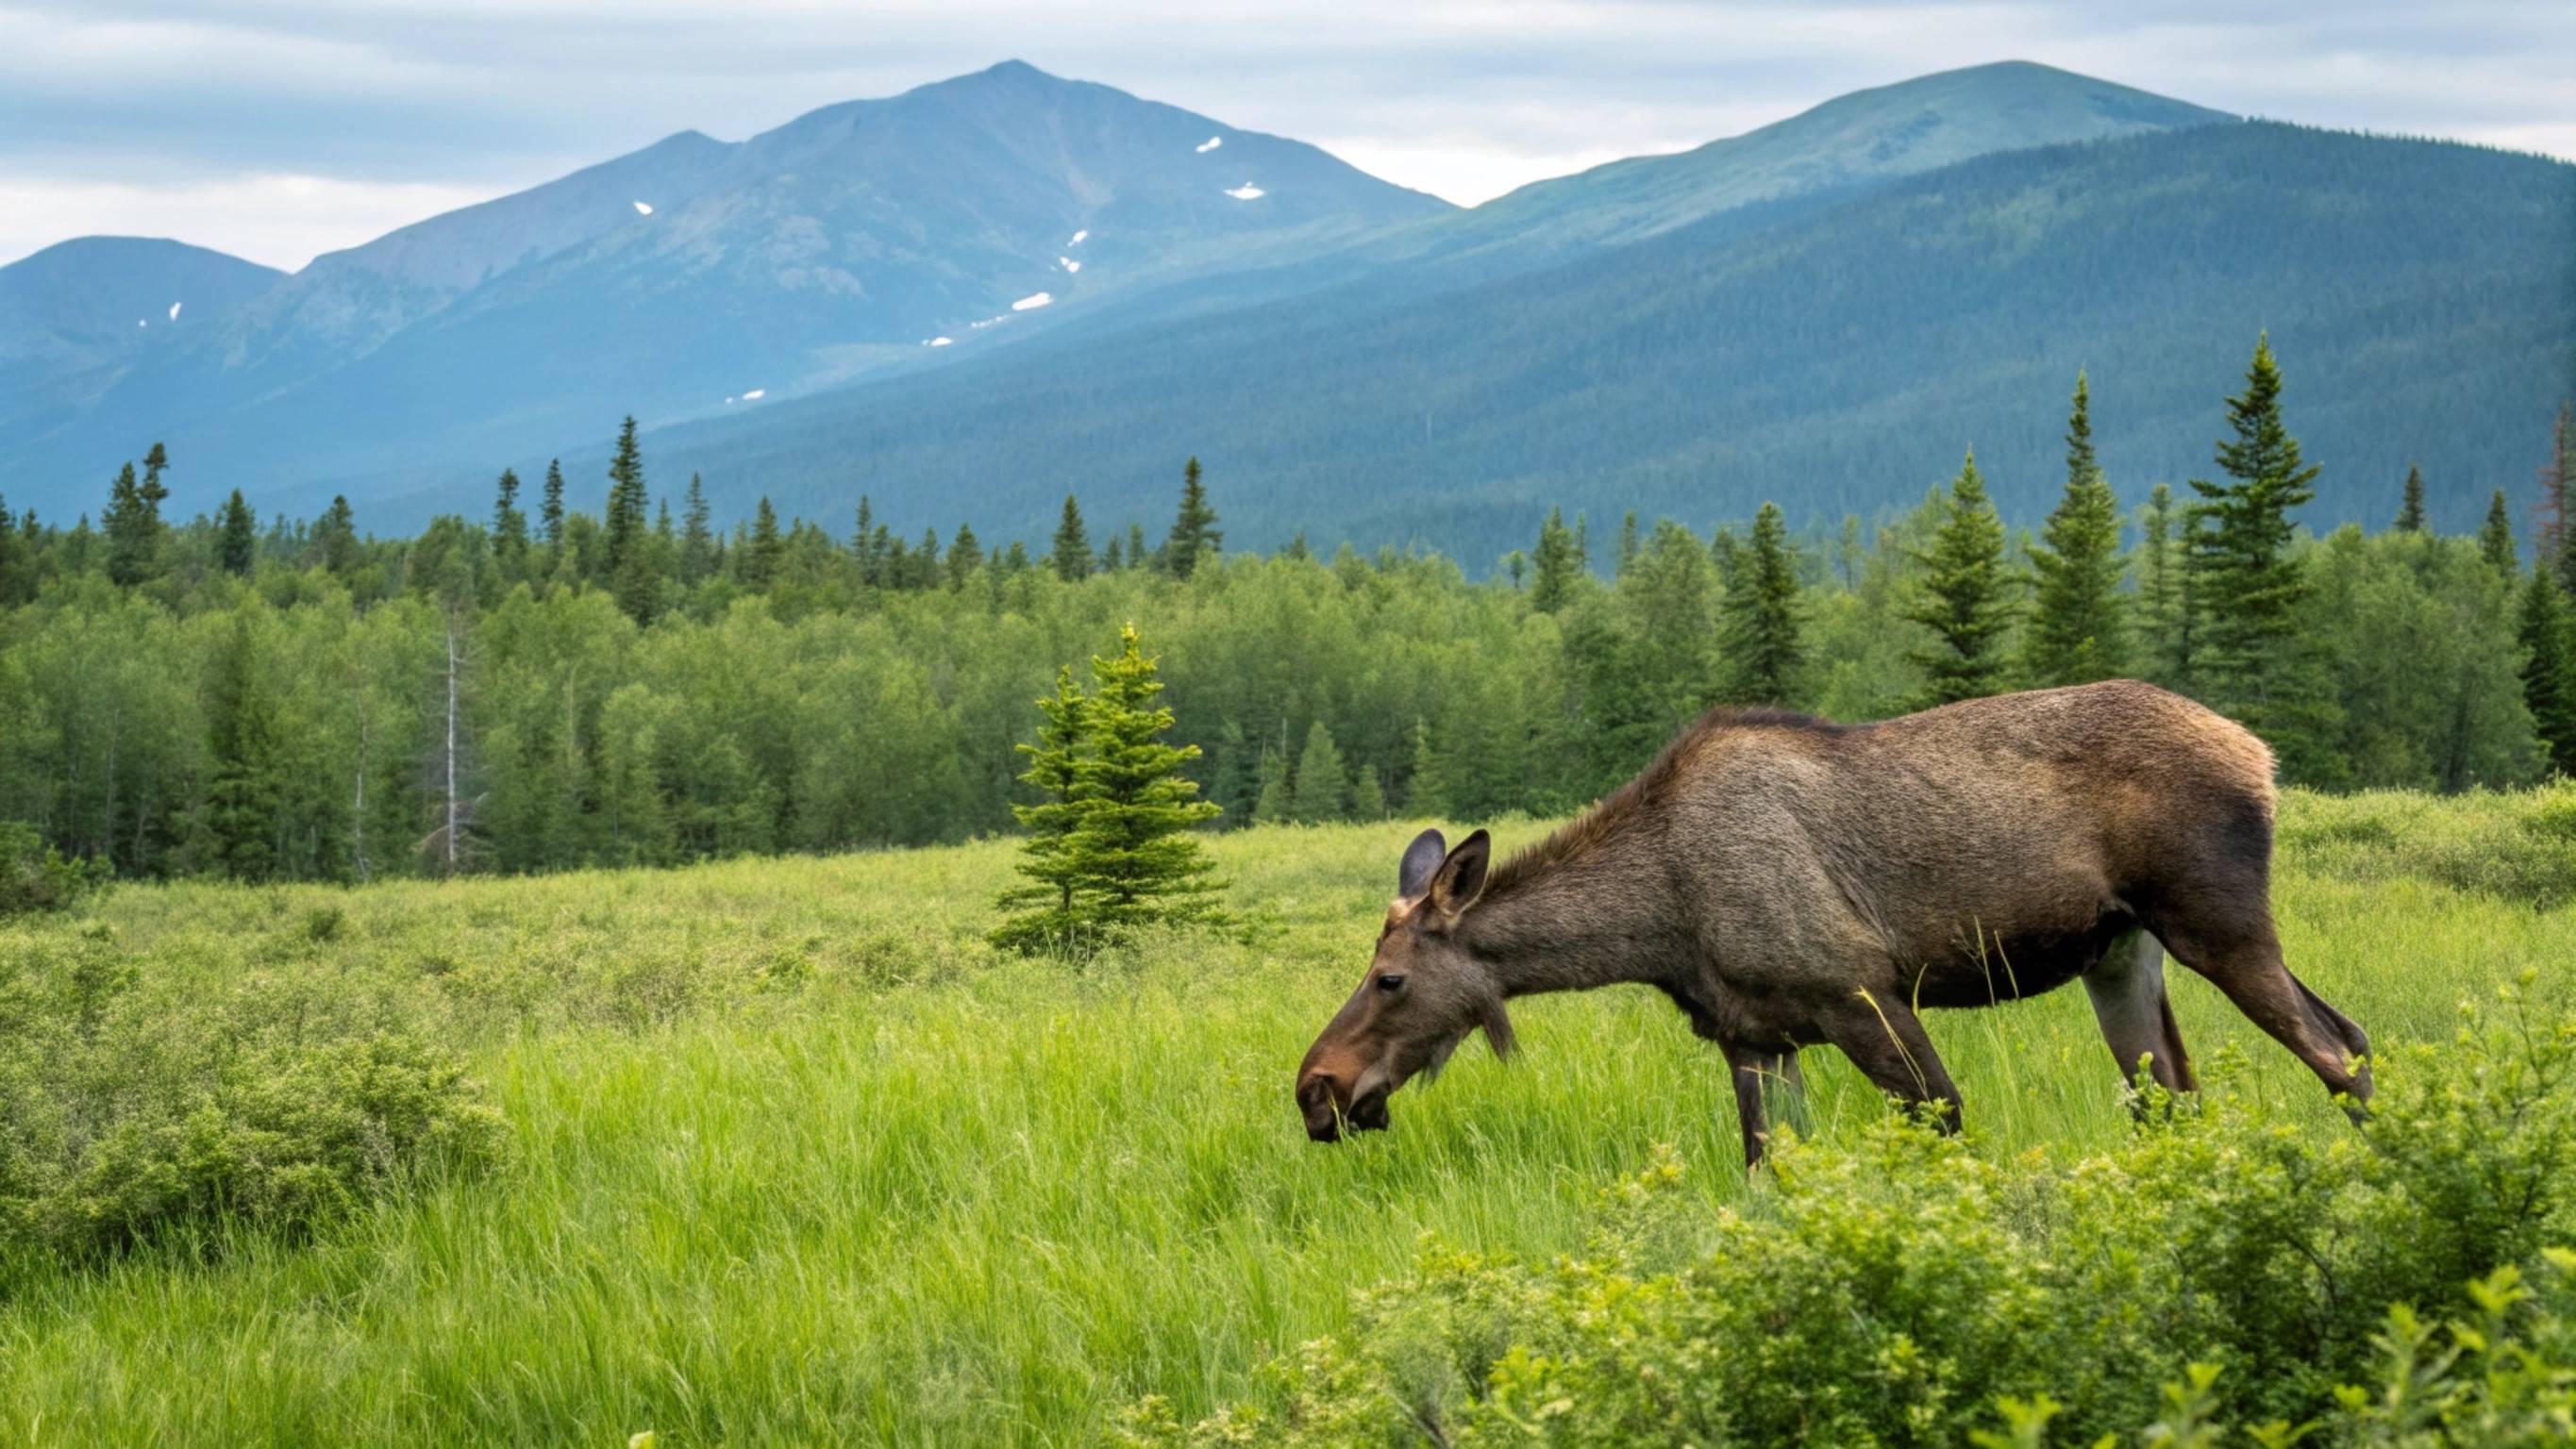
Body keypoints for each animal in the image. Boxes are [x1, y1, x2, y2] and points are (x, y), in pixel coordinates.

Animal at [1295, 680, 2374, 1166]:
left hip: (2217, 922)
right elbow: (1767, 1172)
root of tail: (2262, 755)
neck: (1660, 923)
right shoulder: (1756, 1037)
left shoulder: (1862, 994)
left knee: (2339, 1047)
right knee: (2182, 1093)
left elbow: (1944, 1121)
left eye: (1391, 978)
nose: (1316, 1089)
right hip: (2122, 957)